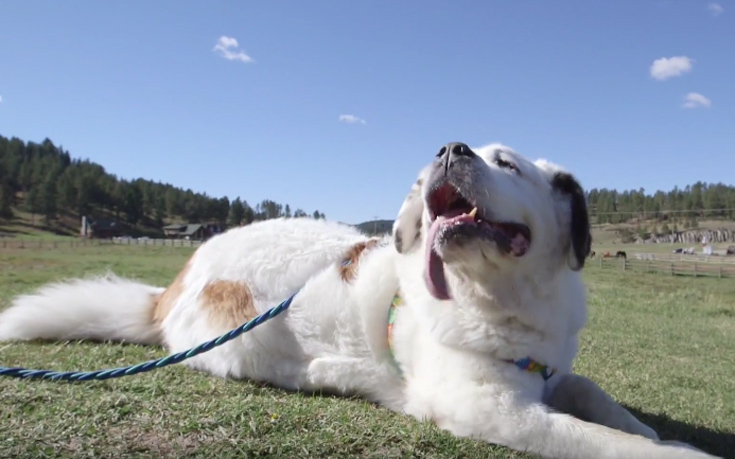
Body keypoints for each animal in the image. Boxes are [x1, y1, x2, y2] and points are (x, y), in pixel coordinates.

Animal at [0, 142, 716, 458]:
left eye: (507, 164)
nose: (450, 149)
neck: (498, 297)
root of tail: (179, 276)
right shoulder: (491, 409)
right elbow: (603, 441)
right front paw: (673, 450)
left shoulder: (550, 371)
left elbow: (599, 400)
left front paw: (644, 424)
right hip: (241, 339)